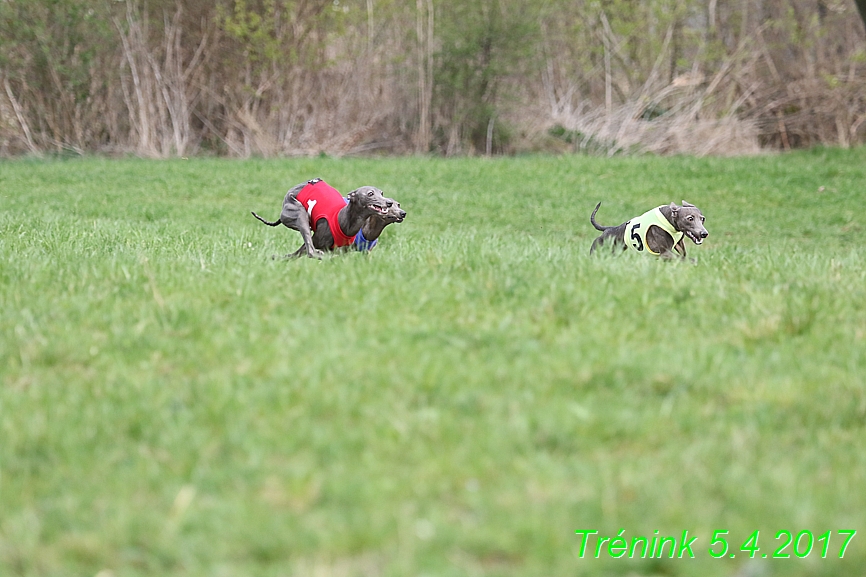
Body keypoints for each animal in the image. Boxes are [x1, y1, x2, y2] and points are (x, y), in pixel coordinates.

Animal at [246, 178, 388, 258]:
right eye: (370, 193)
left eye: (382, 193)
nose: (389, 202)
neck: (343, 218)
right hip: (298, 212)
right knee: (310, 251)